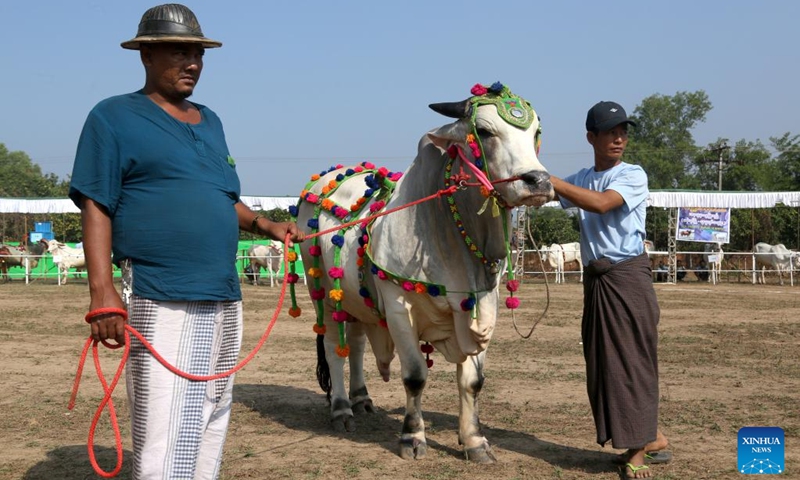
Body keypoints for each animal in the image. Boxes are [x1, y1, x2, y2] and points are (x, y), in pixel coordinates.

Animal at [290, 83, 552, 464]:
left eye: (535, 133)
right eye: (484, 131)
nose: (539, 181)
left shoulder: (482, 306)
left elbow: (472, 381)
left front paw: (475, 441)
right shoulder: (400, 308)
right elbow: (415, 376)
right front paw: (412, 437)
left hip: (355, 298)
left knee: (354, 343)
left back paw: (361, 398)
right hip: (321, 290)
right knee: (331, 346)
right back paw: (341, 408)